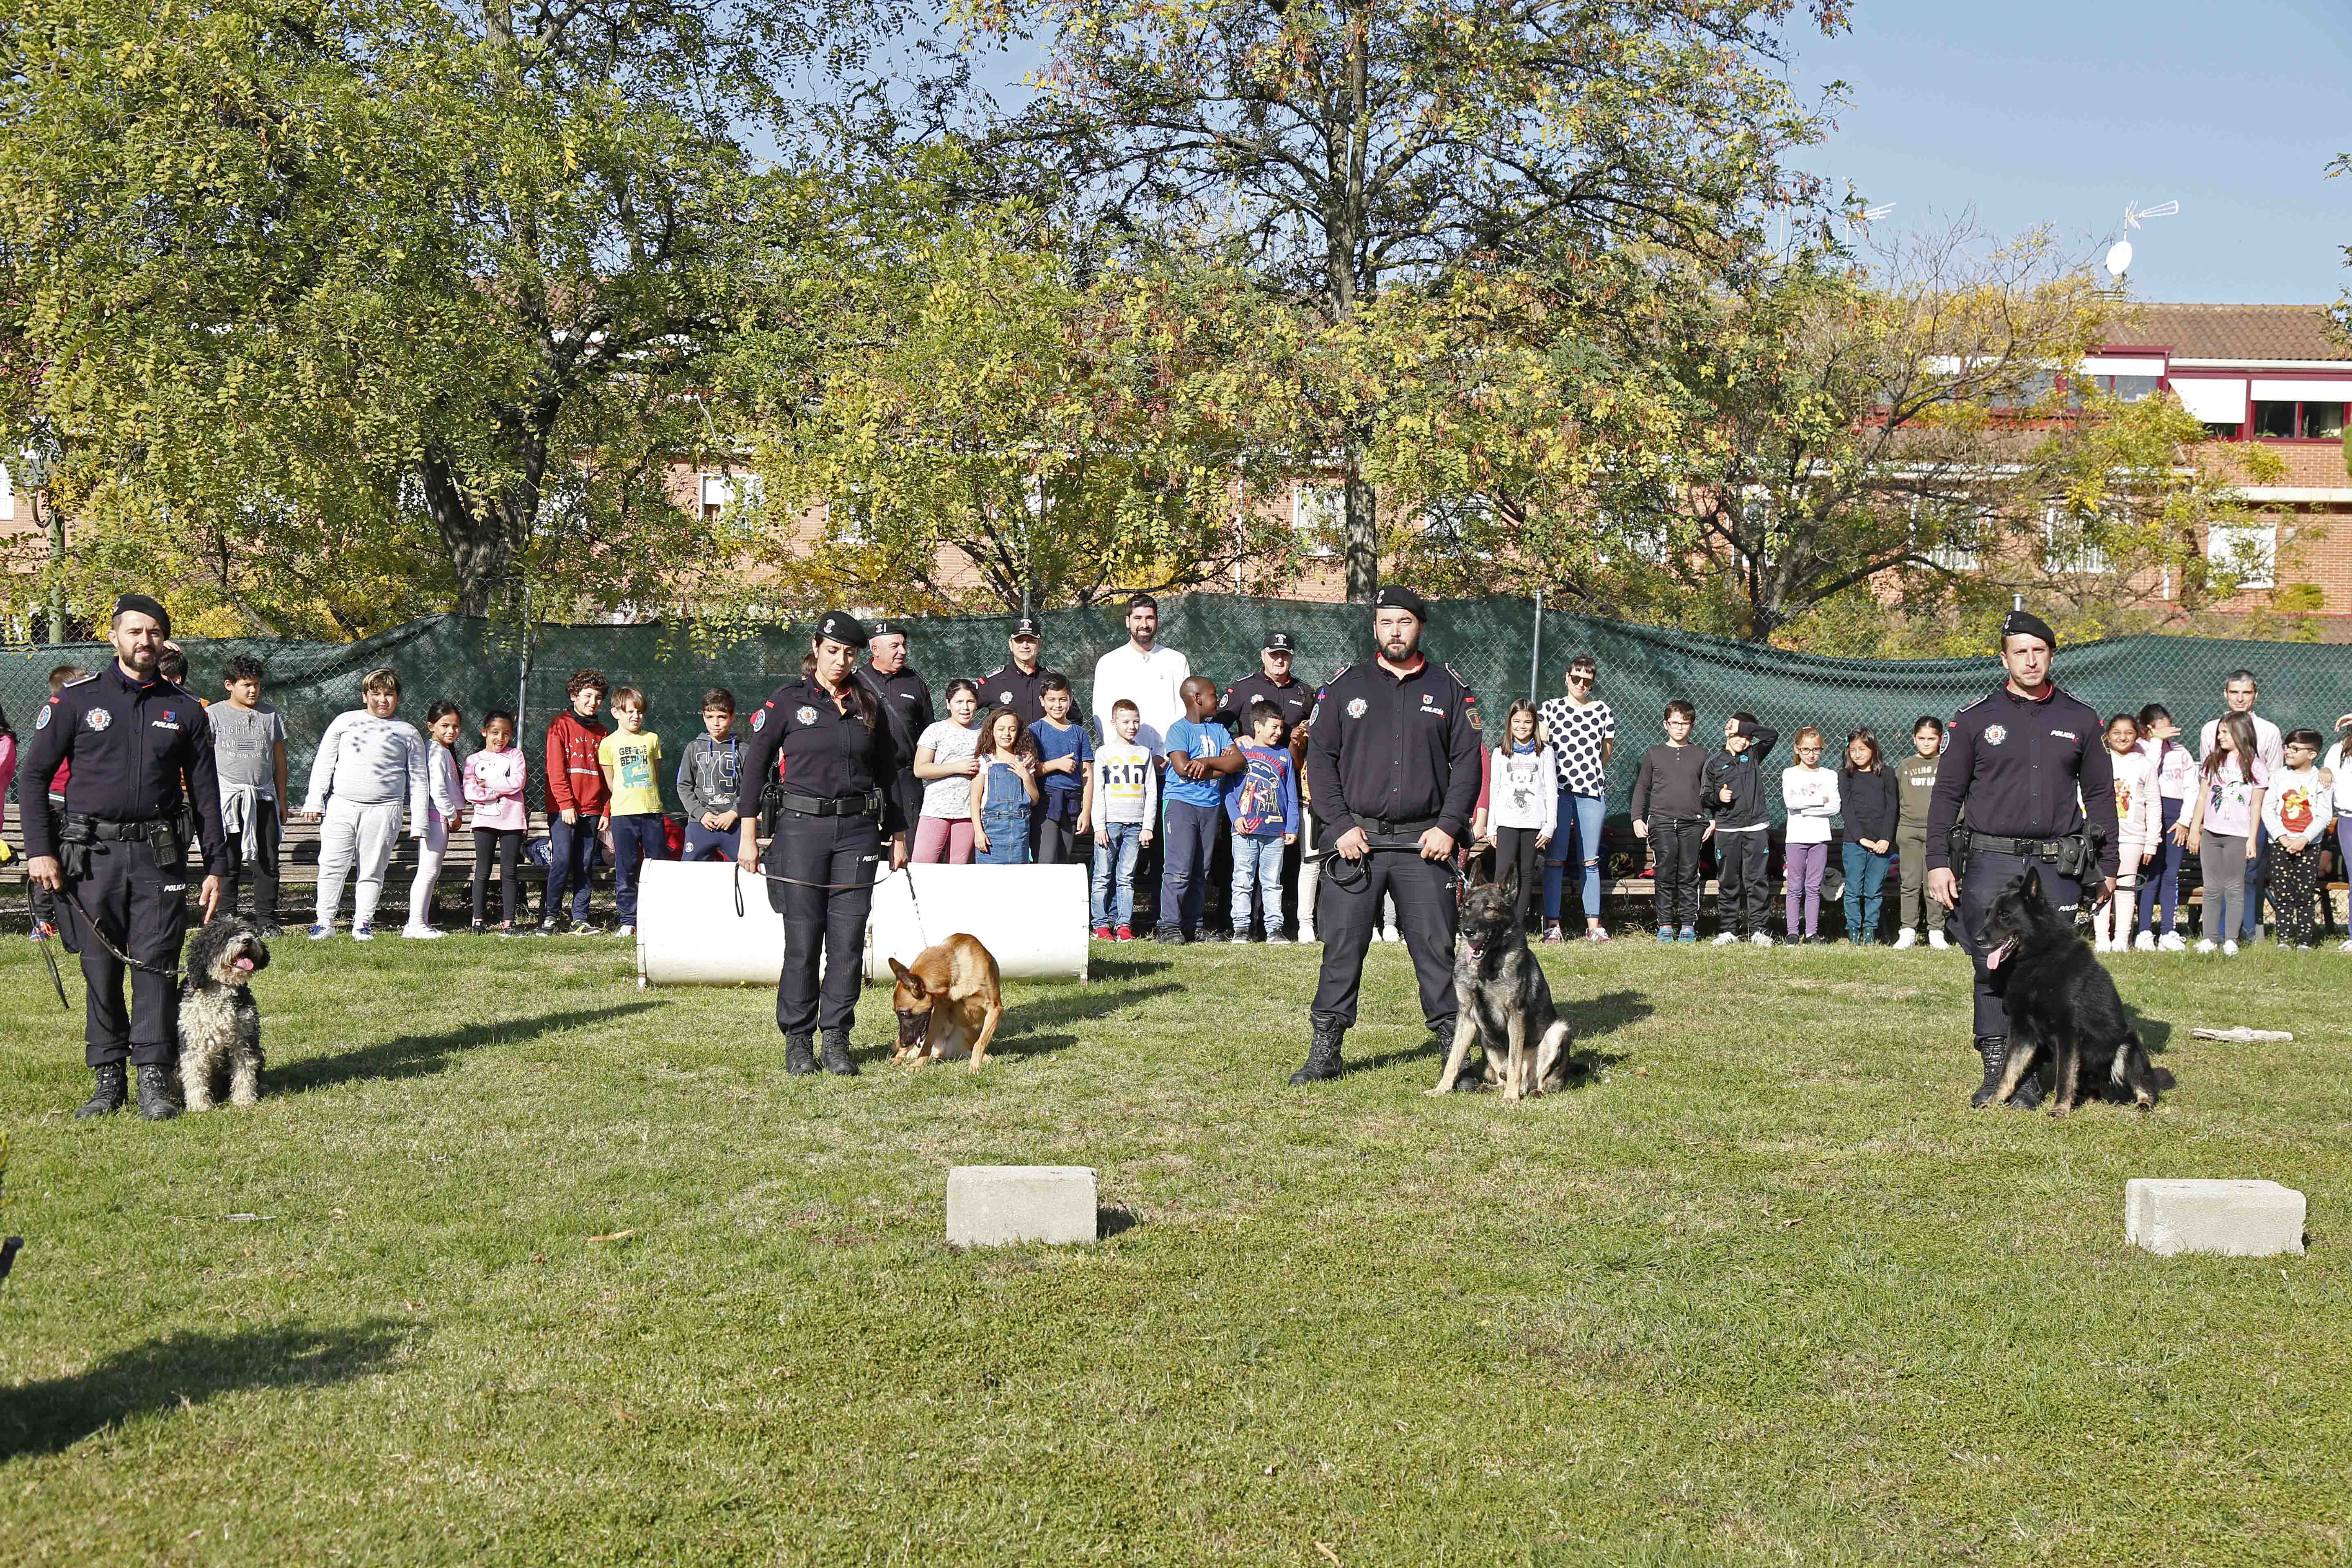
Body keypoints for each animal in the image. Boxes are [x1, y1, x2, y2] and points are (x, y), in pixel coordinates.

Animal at [177, 916, 271, 1110]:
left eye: (248, 931)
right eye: (223, 935)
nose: (247, 941)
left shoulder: (244, 1039)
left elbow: (245, 1073)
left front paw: (244, 1099)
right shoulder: (192, 1041)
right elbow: (194, 1077)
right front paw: (199, 1106)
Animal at [887, 933, 1005, 1073]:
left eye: (903, 1013)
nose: (904, 1043)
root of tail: (940, 1053)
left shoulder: (995, 1009)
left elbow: (980, 1042)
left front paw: (975, 1065)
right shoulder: (939, 1011)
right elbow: (927, 1044)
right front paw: (918, 1064)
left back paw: (985, 1058)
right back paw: (898, 1059)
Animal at [1429, 862, 1578, 1100]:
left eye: (1490, 909)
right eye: (1468, 907)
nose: (1467, 931)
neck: (1487, 964)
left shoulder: (1516, 1015)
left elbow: (1516, 1062)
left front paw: (1511, 1098)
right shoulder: (1467, 1016)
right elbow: (1454, 1059)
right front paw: (1441, 1089)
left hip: (1558, 1031)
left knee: (1544, 1082)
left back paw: (1531, 1091)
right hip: (1485, 1038)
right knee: (1503, 1076)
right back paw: (1490, 1087)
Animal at [1979, 868, 2163, 1116]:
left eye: (2005, 915)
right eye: (1988, 914)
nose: (1977, 940)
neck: (2040, 957)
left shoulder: (2068, 1034)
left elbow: (2064, 1077)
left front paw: (2060, 1109)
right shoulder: (2022, 1031)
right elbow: (2007, 1071)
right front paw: (1994, 1101)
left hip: (2126, 1048)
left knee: (2145, 1086)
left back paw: (2143, 1101)